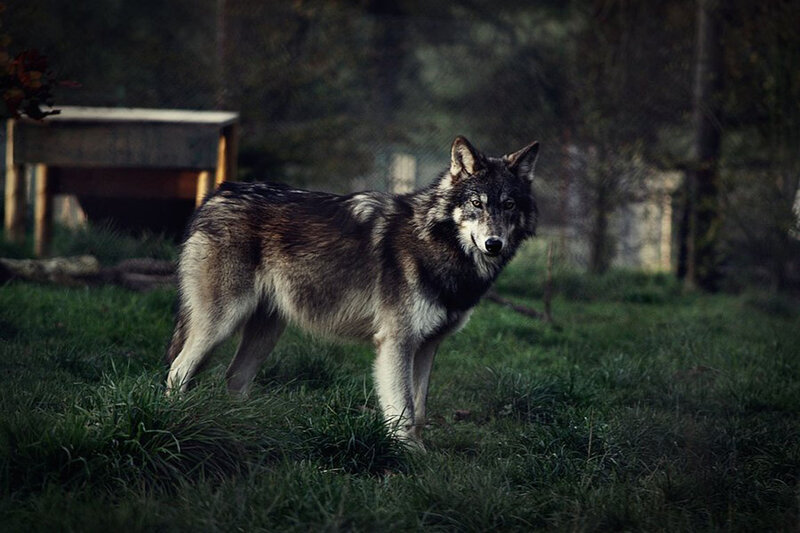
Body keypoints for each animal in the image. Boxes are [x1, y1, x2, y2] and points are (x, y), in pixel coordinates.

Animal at [165, 136, 540, 445]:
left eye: (508, 205)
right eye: (477, 203)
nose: (494, 244)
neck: (435, 241)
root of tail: (218, 194)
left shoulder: (428, 345)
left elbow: (419, 412)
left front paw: (422, 456)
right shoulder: (396, 342)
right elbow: (403, 411)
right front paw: (406, 458)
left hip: (266, 332)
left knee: (233, 379)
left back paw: (244, 428)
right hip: (221, 324)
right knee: (177, 371)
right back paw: (179, 422)